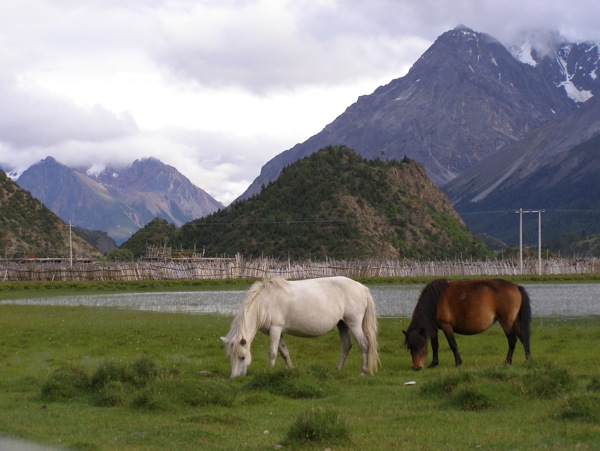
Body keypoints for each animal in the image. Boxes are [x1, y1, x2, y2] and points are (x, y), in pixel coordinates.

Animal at [220, 278, 380, 380]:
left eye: (242, 357)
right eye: (229, 356)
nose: (234, 378)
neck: (264, 303)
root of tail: (362, 288)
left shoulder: (275, 329)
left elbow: (272, 353)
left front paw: (269, 372)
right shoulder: (278, 332)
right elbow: (284, 352)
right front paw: (291, 369)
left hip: (354, 324)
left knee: (364, 344)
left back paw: (363, 371)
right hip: (342, 324)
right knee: (347, 345)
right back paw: (338, 368)